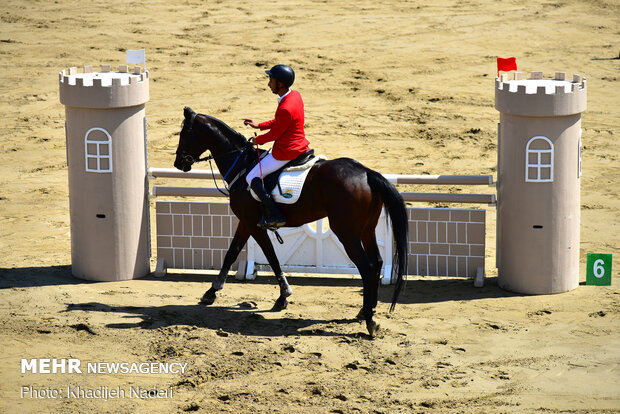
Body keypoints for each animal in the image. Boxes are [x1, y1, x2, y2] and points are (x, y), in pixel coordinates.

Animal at [174, 106, 406, 336]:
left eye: (184, 133)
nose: (178, 163)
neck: (242, 164)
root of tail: (366, 173)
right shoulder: (246, 222)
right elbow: (235, 252)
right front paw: (214, 291)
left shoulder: (251, 222)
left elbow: (267, 256)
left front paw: (281, 294)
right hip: (367, 229)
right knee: (377, 262)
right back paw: (367, 310)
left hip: (346, 232)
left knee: (366, 267)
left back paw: (369, 320)